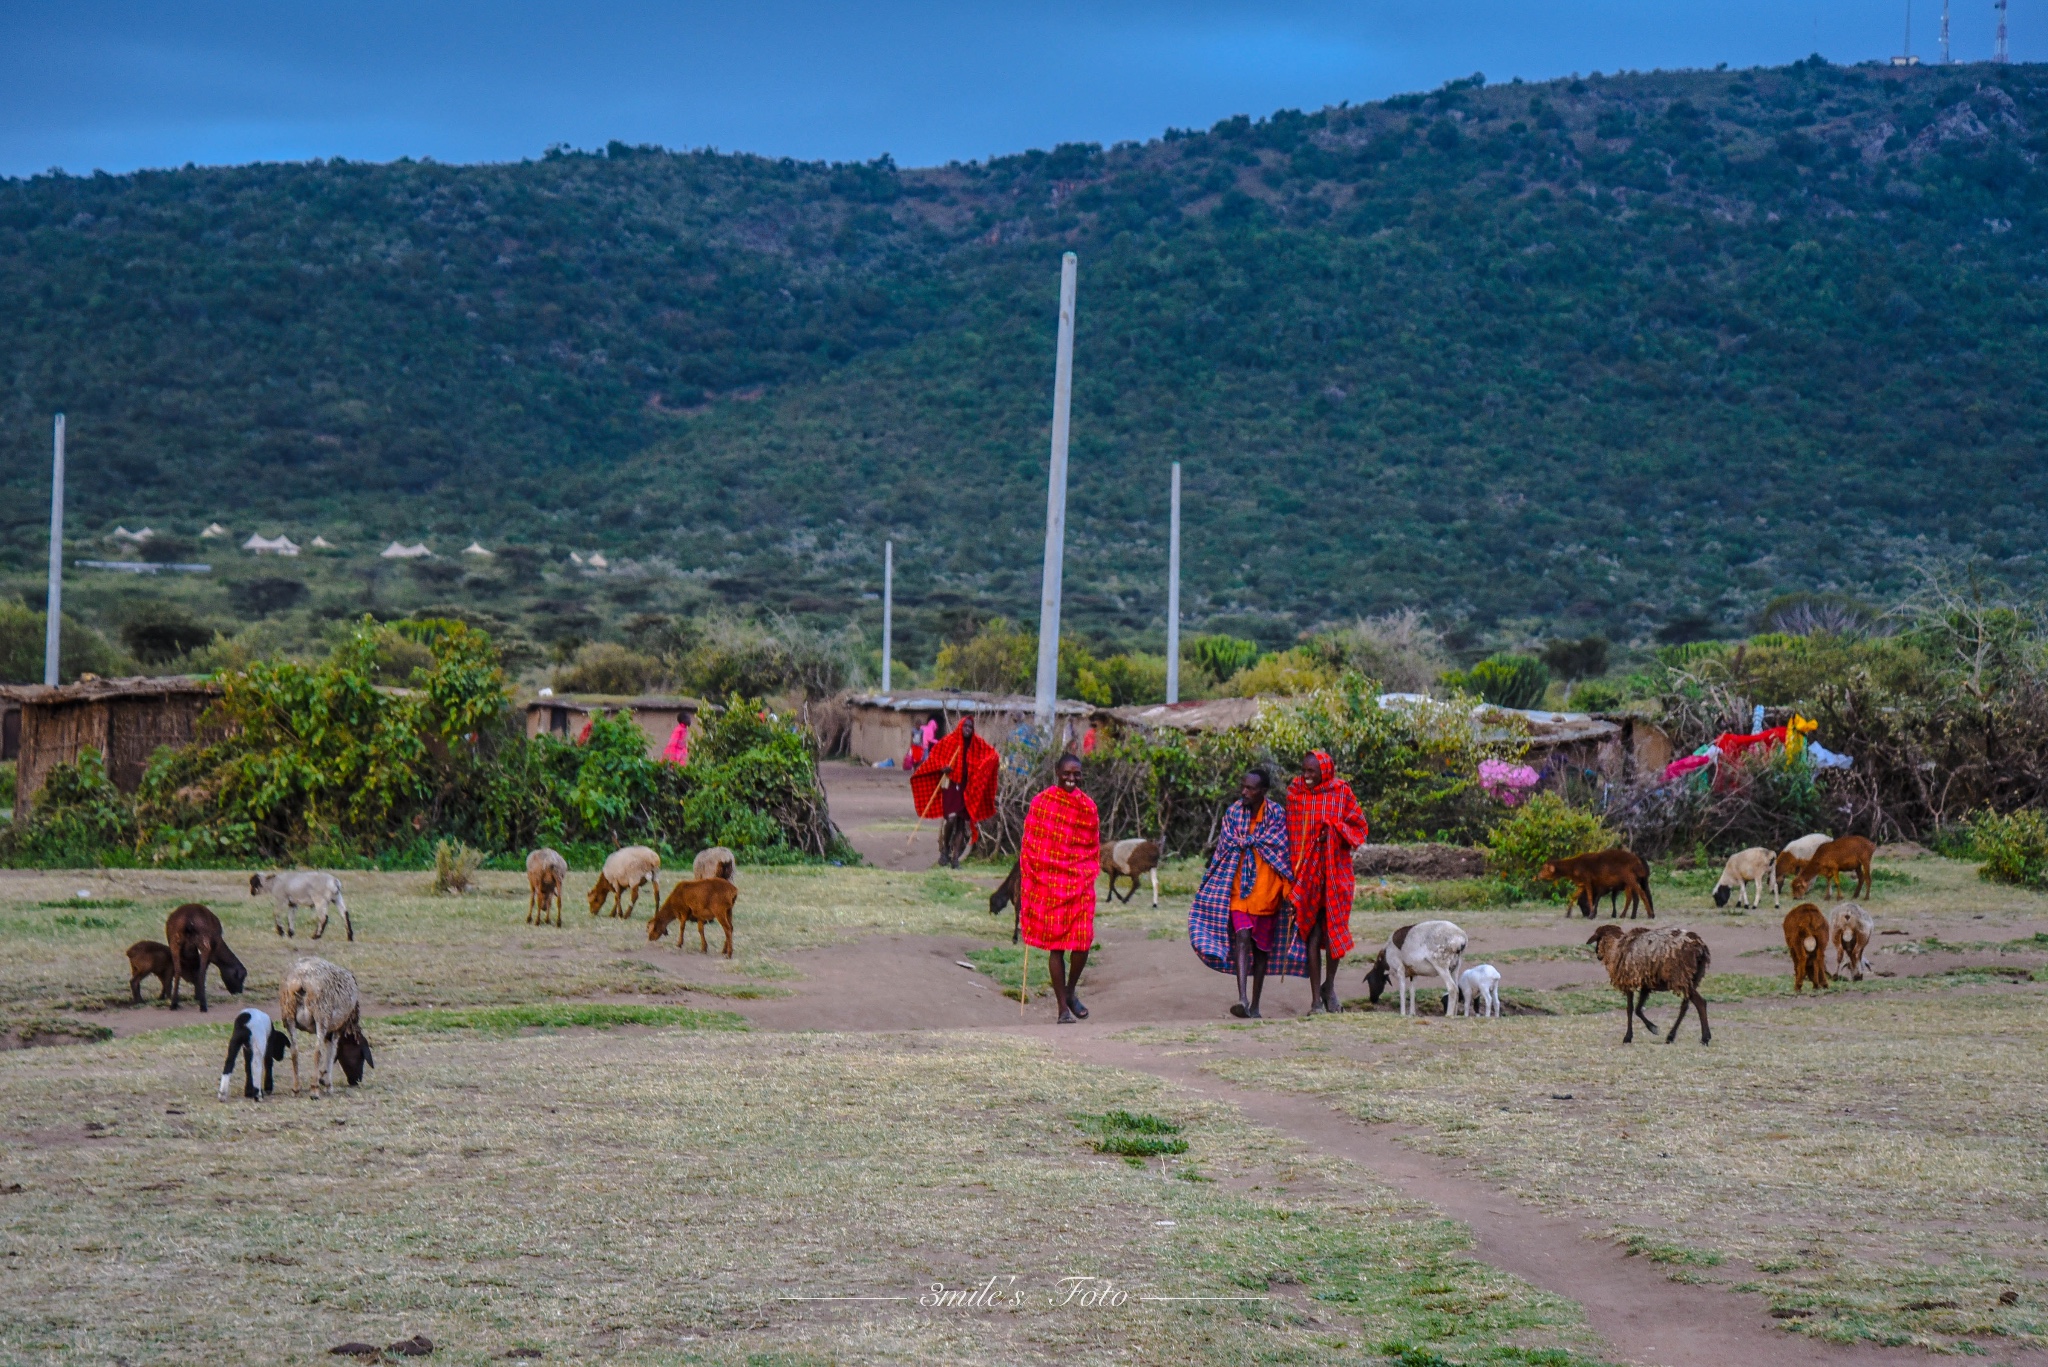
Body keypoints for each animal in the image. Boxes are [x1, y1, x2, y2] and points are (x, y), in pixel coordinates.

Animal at [276, 963, 372, 1098]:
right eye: (361, 1057)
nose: (356, 1080)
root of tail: (301, 980)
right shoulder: (338, 1027)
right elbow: (332, 1053)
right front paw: (327, 1084)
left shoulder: (330, 1031)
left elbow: (329, 1050)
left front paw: (322, 1077)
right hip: (321, 1015)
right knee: (317, 1052)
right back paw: (314, 1090)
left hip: (288, 1014)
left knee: (294, 1050)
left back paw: (296, 1088)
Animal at [1581, 918, 1712, 1049]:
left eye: (1598, 939)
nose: (1597, 955)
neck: (1615, 948)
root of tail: (1699, 946)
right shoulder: (1646, 984)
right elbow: (1638, 1009)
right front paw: (1653, 1028)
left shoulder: (1628, 981)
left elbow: (1630, 1009)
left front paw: (1628, 1037)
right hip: (1692, 979)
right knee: (1685, 1006)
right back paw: (1671, 1036)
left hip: (1681, 976)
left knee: (1700, 1003)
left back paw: (1705, 1038)